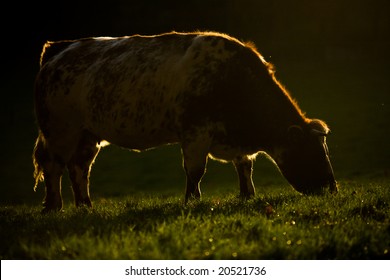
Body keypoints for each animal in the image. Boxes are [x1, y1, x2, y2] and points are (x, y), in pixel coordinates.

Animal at [32, 30, 338, 211]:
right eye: (311, 153)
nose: (332, 189)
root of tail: (59, 49)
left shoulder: (234, 139)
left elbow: (244, 166)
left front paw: (247, 195)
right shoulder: (196, 133)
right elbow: (195, 171)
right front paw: (192, 200)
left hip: (87, 134)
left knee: (79, 168)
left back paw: (85, 205)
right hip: (60, 131)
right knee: (53, 166)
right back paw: (54, 206)